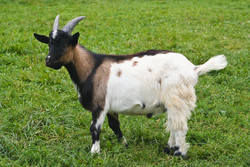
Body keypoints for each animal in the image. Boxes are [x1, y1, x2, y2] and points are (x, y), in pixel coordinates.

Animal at [34, 15, 228, 157]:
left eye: (66, 42)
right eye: (49, 42)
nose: (49, 61)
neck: (92, 68)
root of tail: (193, 68)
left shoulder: (99, 105)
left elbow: (95, 129)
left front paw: (94, 153)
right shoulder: (110, 107)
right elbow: (115, 126)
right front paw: (124, 144)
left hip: (177, 97)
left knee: (179, 126)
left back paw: (179, 153)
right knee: (174, 123)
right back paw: (169, 149)